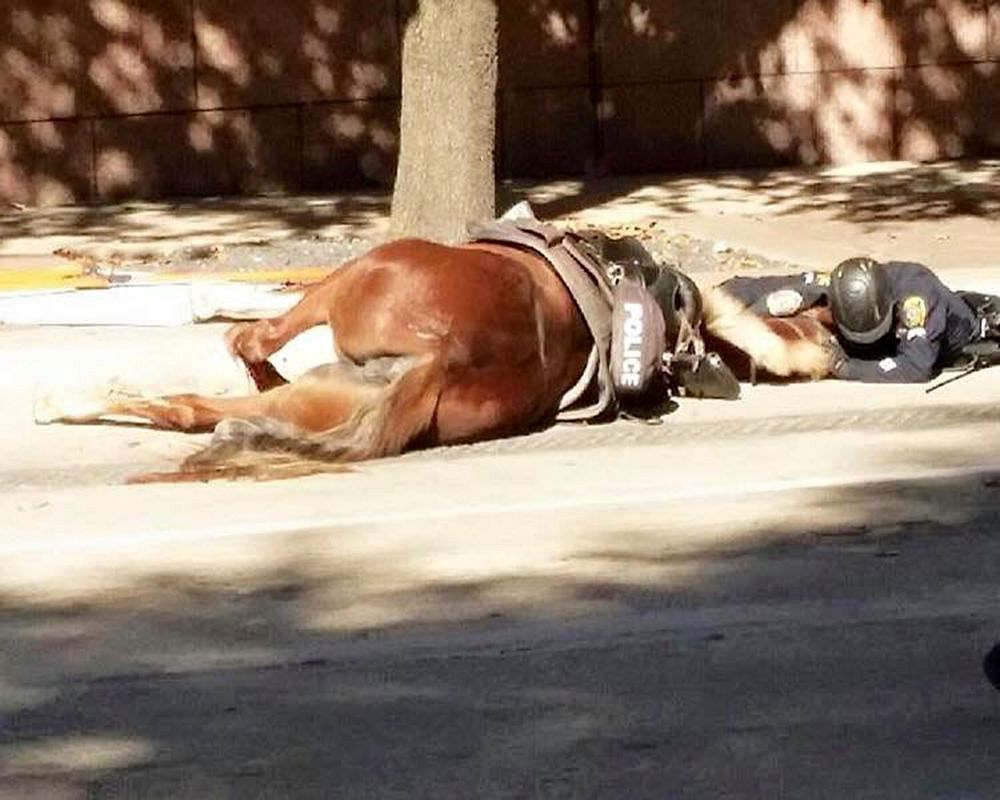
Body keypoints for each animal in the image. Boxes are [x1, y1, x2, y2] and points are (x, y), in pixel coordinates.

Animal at [37, 219, 836, 482]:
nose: (831, 349)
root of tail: (437, 359)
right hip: (321, 389)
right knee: (197, 408)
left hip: (346, 282)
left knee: (243, 349)